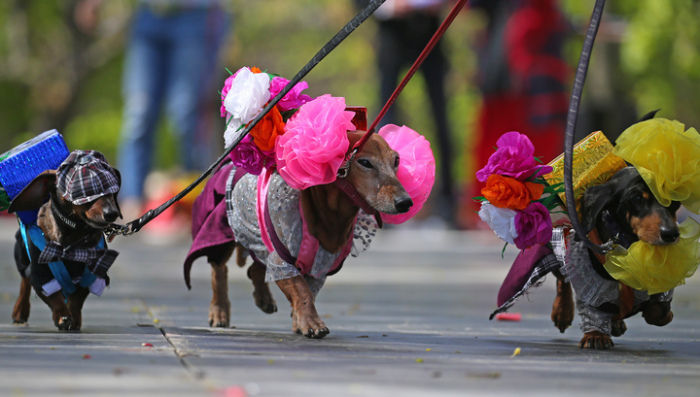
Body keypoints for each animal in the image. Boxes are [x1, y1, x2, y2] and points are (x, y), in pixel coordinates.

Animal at [8, 150, 121, 330]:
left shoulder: (91, 273)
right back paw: (20, 310)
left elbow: (77, 297)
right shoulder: (40, 274)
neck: (75, 238)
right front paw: (62, 315)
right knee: (25, 280)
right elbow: (53, 296)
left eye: (113, 190)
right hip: (21, 255)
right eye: (84, 192)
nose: (112, 213)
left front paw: (74, 318)